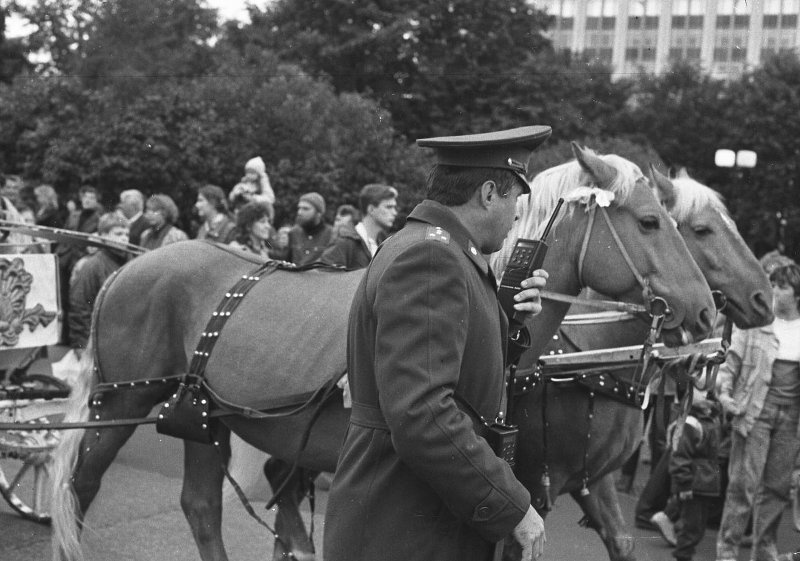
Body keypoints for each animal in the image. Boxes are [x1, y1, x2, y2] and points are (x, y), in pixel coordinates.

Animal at [50, 144, 716, 560]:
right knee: (81, 487)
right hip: (119, 406)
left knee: (199, 507)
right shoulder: (519, 484)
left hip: (200, 416)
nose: (709, 312)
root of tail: (125, 266)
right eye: (652, 221)